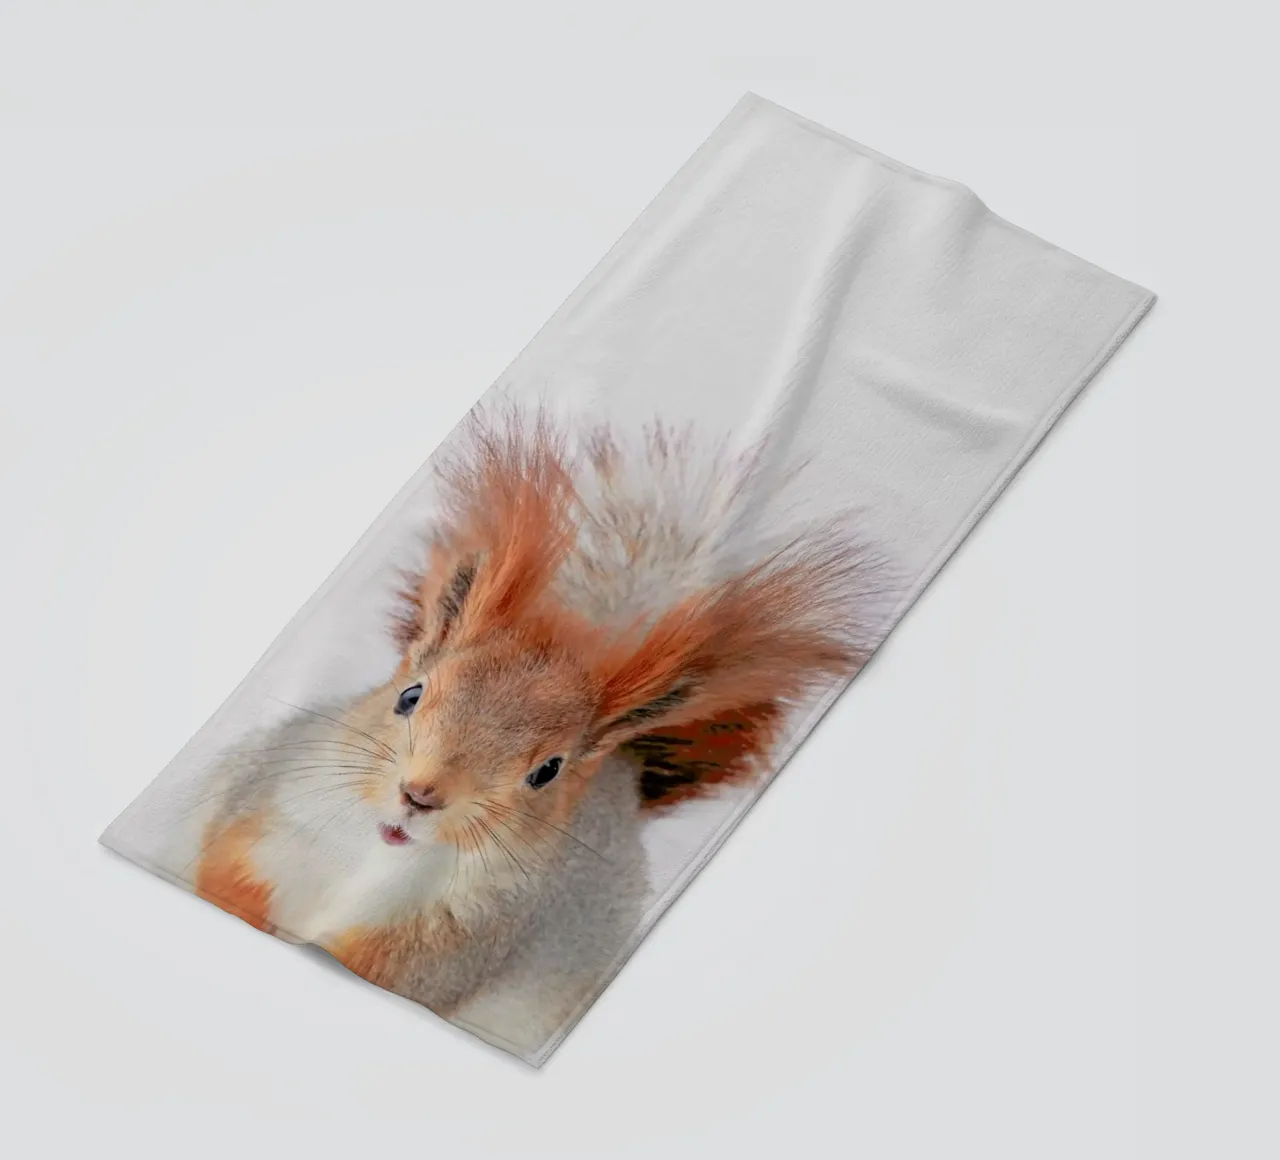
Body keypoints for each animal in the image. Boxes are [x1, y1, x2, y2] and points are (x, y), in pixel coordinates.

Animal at [191, 408, 878, 1054]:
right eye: (409, 696)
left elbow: (388, 967)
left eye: (547, 771)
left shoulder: (454, 945)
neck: (371, 853)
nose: (420, 796)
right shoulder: (267, 814)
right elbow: (229, 879)